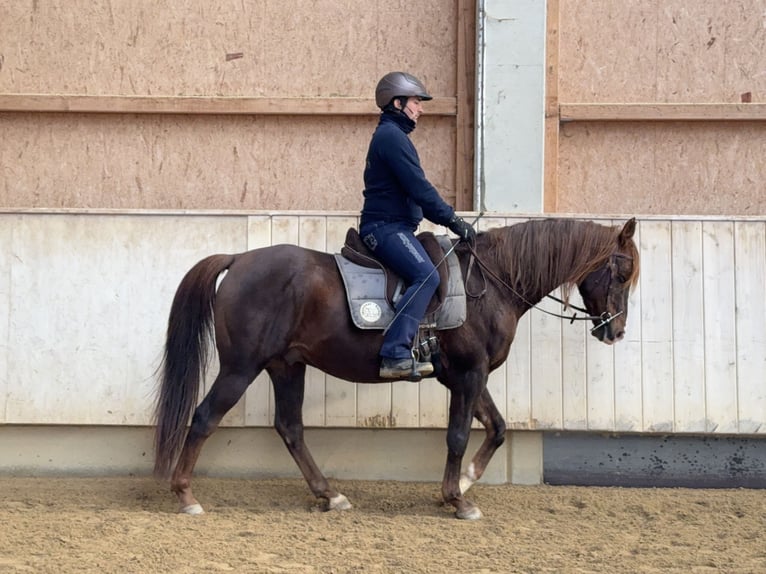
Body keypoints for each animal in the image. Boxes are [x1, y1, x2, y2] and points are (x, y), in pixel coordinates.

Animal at [153, 217, 640, 520]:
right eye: (622, 273)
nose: (615, 332)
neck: (491, 283)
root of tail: (239, 259)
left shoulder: (468, 375)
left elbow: (498, 427)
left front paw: (467, 481)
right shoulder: (469, 374)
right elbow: (458, 436)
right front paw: (457, 500)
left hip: (286, 366)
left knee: (290, 428)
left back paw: (330, 494)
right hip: (241, 366)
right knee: (204, 417)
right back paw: (185, 496)